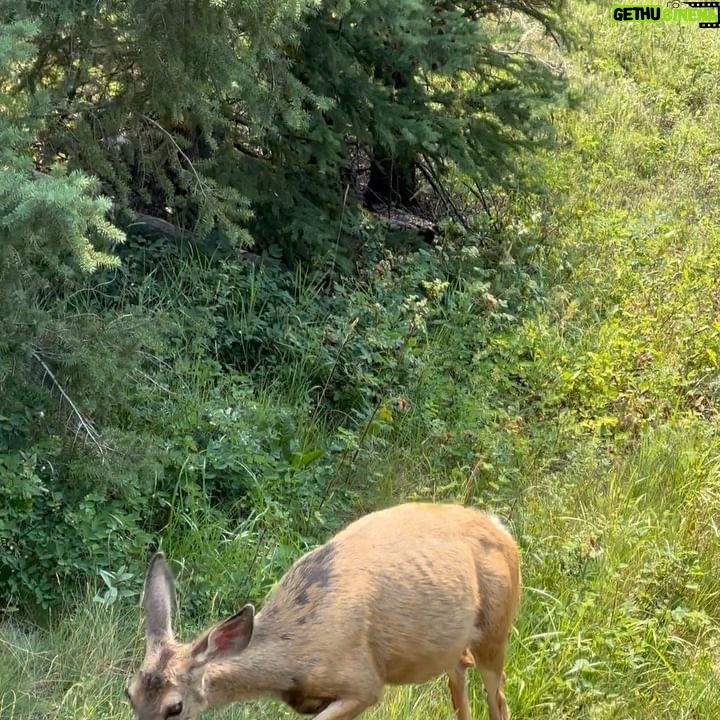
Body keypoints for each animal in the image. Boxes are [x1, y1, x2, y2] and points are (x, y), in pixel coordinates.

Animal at [126, 500, 524, 720]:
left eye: (175, 707)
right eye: (129, 695)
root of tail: (502, 529)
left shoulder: (364, 682)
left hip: (496, 632)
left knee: (500, 702)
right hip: (453, 648)